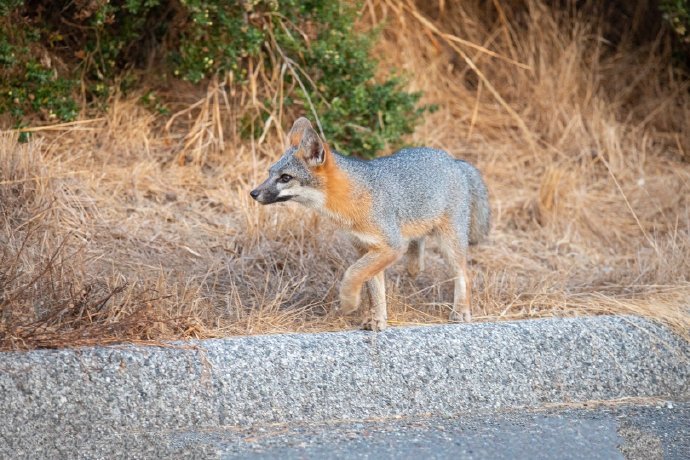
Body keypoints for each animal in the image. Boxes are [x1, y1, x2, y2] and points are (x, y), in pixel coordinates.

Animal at [249, 117, 490, 328]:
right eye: (269, 173)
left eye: (285, 178)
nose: (253, 193)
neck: (352, 200)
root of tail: (454, 161)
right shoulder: (367, 247)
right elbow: (374, 290)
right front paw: (376, 320)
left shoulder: (391, 246)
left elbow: (353, 273)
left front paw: (349, 301)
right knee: (418, 250)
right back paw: (415, 263)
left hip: (449, 244)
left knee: (464, 274)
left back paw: (461, 310)